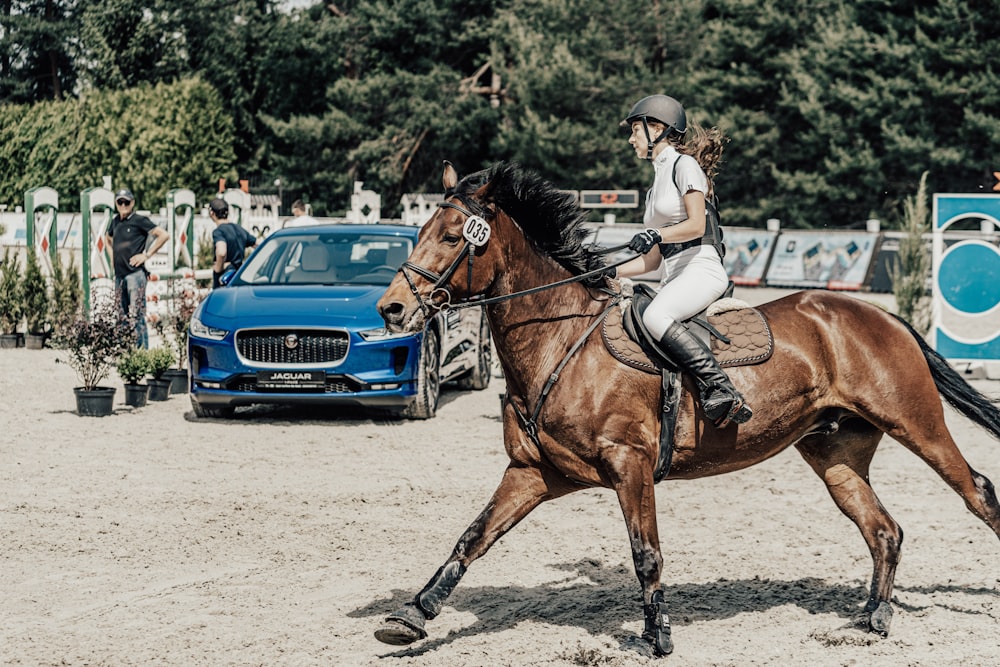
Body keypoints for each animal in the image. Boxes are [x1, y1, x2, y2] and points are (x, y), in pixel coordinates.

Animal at [376, 162, 1000, 656]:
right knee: (883, 529)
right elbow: (472, 537)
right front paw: (411, 616)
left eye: (452, 236)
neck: (560, 340)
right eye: (422, 231)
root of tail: (886, 316)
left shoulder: (630, 464)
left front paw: (659, 636)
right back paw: (874, 616)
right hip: (835, 454)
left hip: (916, 423)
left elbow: (645, 553)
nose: (392, 309)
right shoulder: (532, 472)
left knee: (977, 492)